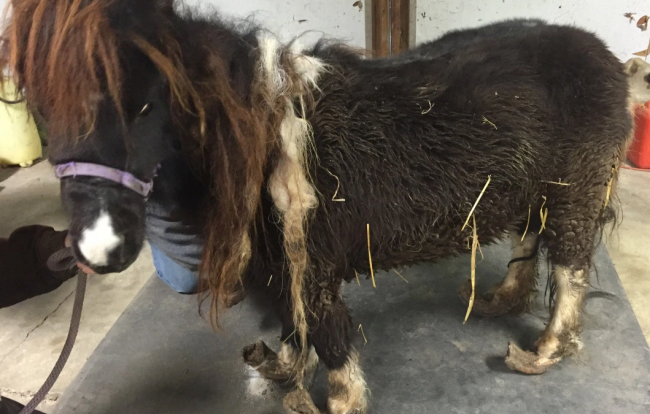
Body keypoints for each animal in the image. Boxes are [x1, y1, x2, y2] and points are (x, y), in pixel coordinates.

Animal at [0, 1, 628, 412]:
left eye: (145, 104)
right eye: (40, 104)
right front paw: (281, 369)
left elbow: (327, 336)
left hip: (577, 188)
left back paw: (542, 351)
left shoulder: (312, 262)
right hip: (537, 187)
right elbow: (293, 327)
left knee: (570, 269)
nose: (98, 248)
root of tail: (605, 57)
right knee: (530, 238)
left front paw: (337, 400)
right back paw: (502, 298)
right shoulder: (284, 266)